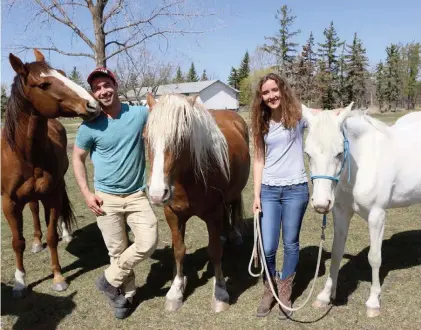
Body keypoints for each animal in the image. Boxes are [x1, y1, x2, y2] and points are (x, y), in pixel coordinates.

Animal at [1, 48, 101, 296]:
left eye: (63, 74)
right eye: (44, 84)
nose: (93, 105)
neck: (26, 155)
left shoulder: (52, 195)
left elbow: (52, 236)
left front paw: (58, 277)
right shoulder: (9, 203)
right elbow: (17, 242)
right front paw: (20, 282)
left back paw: (66, 233)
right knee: (34, 210)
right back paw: (36, 243)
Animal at [144, 92, 249, 312]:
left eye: (180, 139)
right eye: (146, 138)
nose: (157, 194)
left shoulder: (213, 214)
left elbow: (214, 251)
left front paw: (220, 292)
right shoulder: (173, 214)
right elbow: (178, 250)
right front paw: (176, 290)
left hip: (234, 193)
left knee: (233, 206)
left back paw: (233, 234)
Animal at [300, 103, 420, 318]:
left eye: (339, 153)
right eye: (308, 154)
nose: (321, 204)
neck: (364, 163)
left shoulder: (377, 216)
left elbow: (374, 258)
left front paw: (373, 302)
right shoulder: (340, 213)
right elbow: (337, 253)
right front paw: (325, 296)